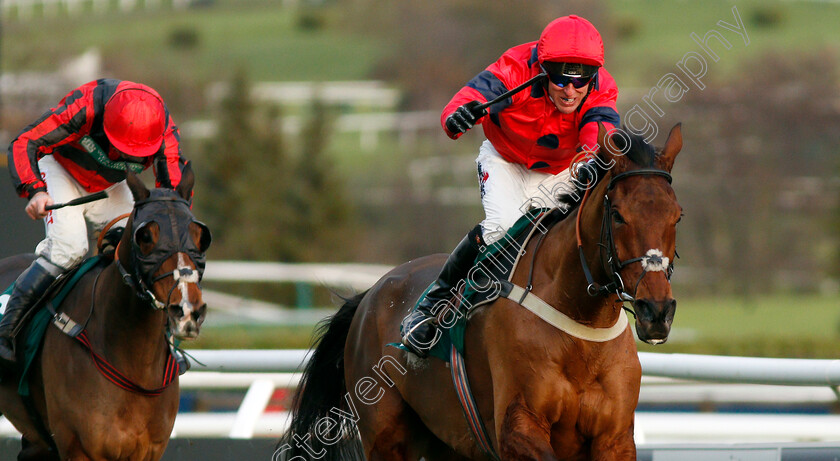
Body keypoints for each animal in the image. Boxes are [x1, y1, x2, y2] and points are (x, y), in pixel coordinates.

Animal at [278, 123, 684, 460]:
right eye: (617, 215)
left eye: (676, 215)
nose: (656, 311)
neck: (581, 323)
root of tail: (371, 293)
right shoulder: (516, 427)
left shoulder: (614, 438)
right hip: (387, 437)